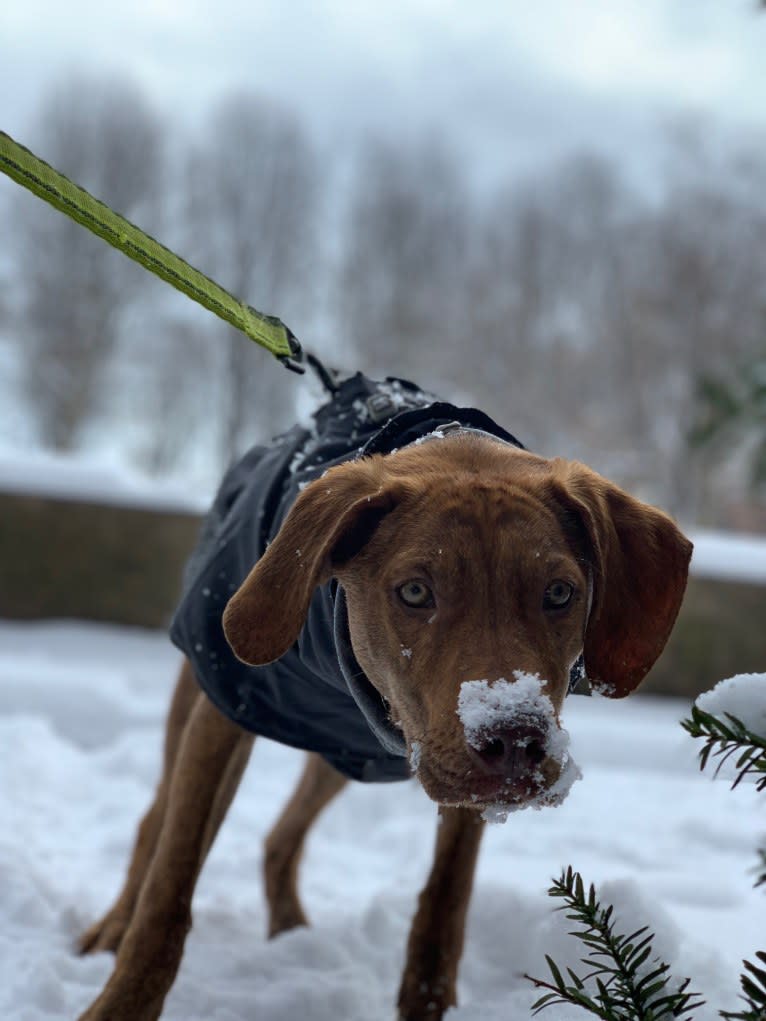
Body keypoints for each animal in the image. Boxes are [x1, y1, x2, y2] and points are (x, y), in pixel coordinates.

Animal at [75, 420, 694, 1012]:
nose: (516, 740)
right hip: (202, 699)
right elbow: (169, 891)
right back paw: (113, 928)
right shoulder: (228, 705)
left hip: (345, 751)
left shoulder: (460, 783)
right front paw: (120, 1005)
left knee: (281, 835)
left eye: (561, 593)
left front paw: (427, 1005)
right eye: (416, 592)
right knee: (154, 823)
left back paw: (290, 931)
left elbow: (444, 907)